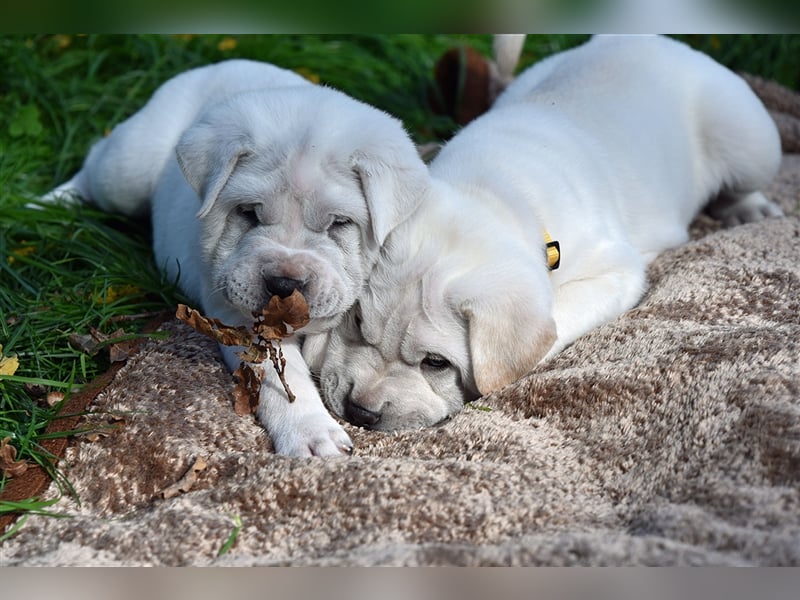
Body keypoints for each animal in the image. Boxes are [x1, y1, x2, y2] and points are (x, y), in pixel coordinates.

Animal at [50, 59, 432, 454]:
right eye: (248, 212)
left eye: (340, 223)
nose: (284, 282)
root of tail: (213, 64)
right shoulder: (243, 318)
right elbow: (282, 378)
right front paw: (312, 434)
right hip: (128, 170)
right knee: (96, 162)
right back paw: (46, 204)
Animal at [310, 35, 784, 432]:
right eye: (357, 323)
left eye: (436, 363)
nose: (359, 412)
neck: (492, 192)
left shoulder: (617, 271)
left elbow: (554, 321)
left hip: (751, 142)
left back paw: (750, 208)